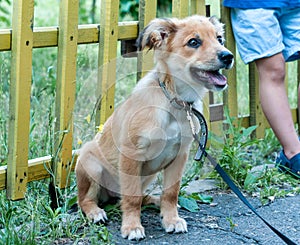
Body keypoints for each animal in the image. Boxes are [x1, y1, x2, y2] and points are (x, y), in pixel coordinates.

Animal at [75, 14, 234, 240]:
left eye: (219, 39)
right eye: (194, 42)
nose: (228, 56)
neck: (175, 103)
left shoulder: (180, 156)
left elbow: (171, 192)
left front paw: (171, 219)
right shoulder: (132, 155)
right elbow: (131, 197)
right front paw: (132, 226)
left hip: (147, 175)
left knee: (138, 196)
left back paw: (153, 201)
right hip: (91, 163)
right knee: (86, 199)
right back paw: (95, 212)